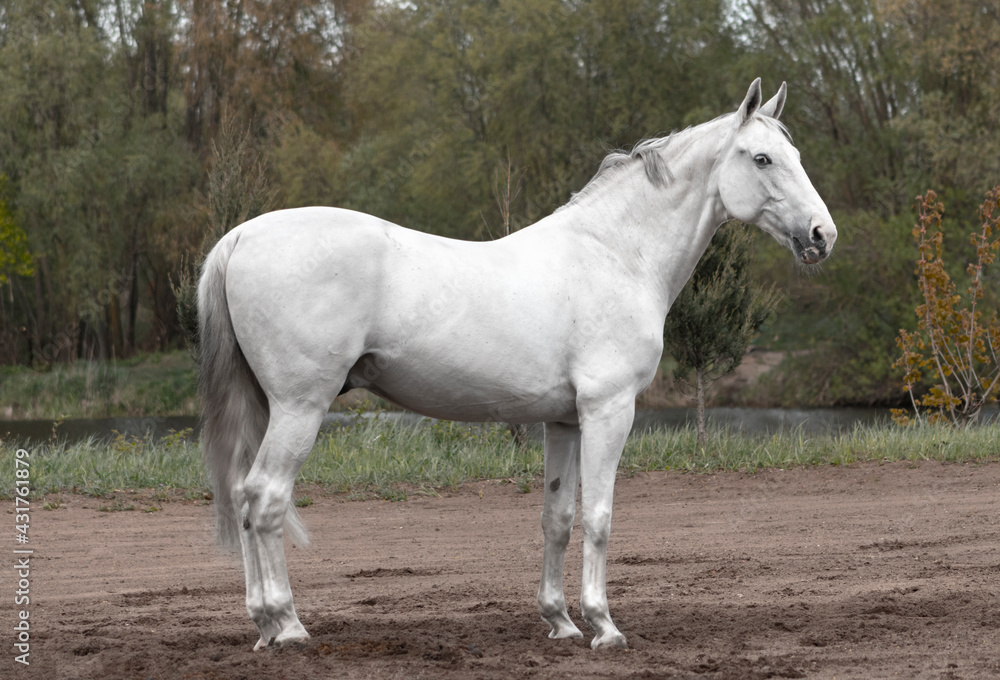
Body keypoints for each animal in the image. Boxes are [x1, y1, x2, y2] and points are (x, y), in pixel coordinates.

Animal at [197, 77, 836, 652]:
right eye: (762, 157)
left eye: (799, 156)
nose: (822, 235)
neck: (615, 254)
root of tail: (240, 237)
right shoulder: (608, 412)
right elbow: (599, 516)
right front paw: (604, 626)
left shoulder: (565, 420)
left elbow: (557, 516)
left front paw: (561, 621)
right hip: (301, 408)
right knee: (265, 498)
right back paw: (287, 625)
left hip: (270, 407)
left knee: (243, 497)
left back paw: (262, 626)